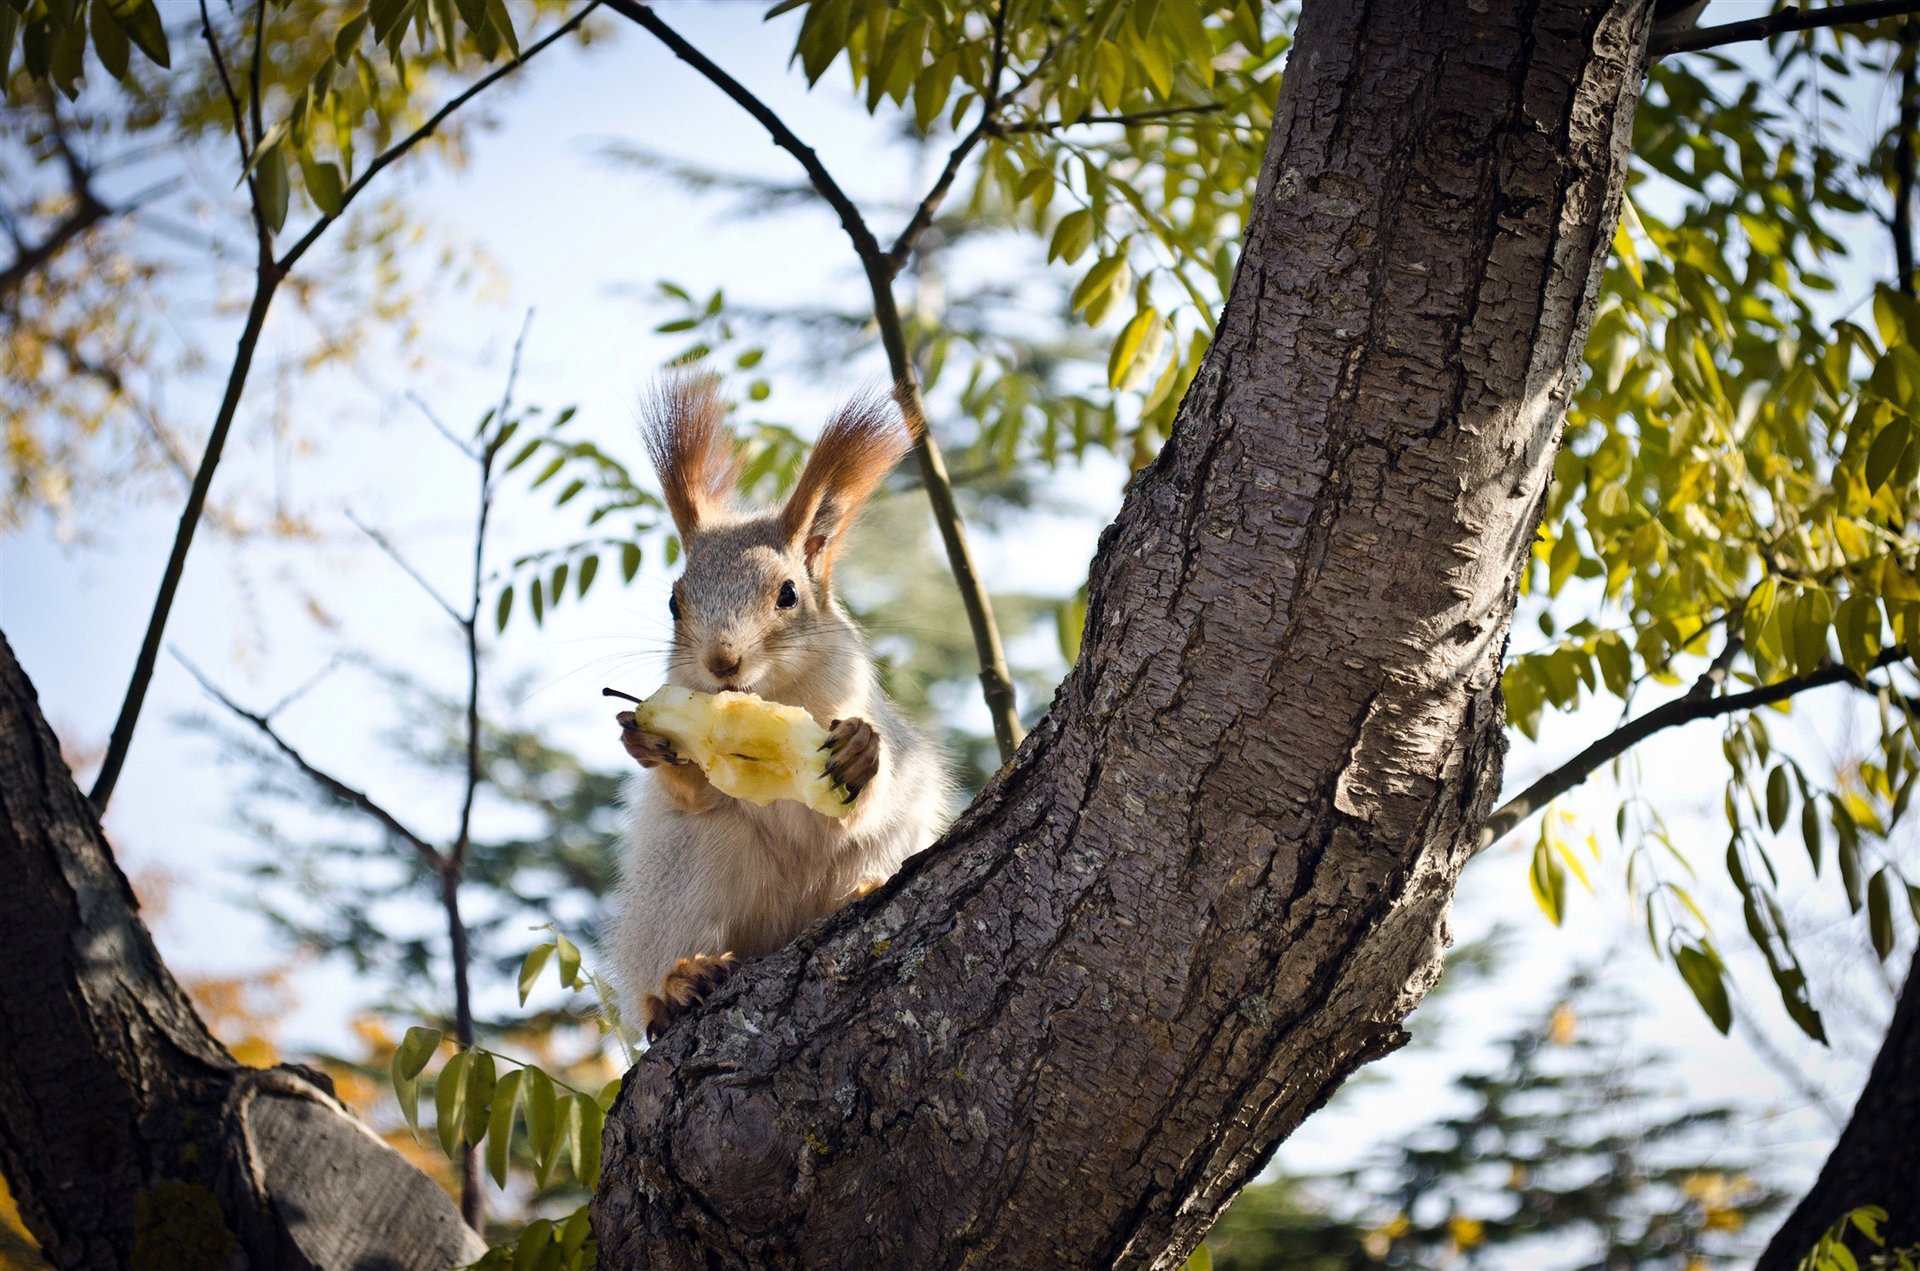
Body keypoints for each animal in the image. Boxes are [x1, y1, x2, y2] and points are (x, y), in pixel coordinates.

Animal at [609, 377, 951, 1041]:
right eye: (674, 603)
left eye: (788, 594)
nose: (722, 662)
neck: (772, 695)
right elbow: (695, 792)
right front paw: (645, 743)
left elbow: (850, 808)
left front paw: (860, 752)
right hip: (687, 872)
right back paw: (678, 984)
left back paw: (860, 890)